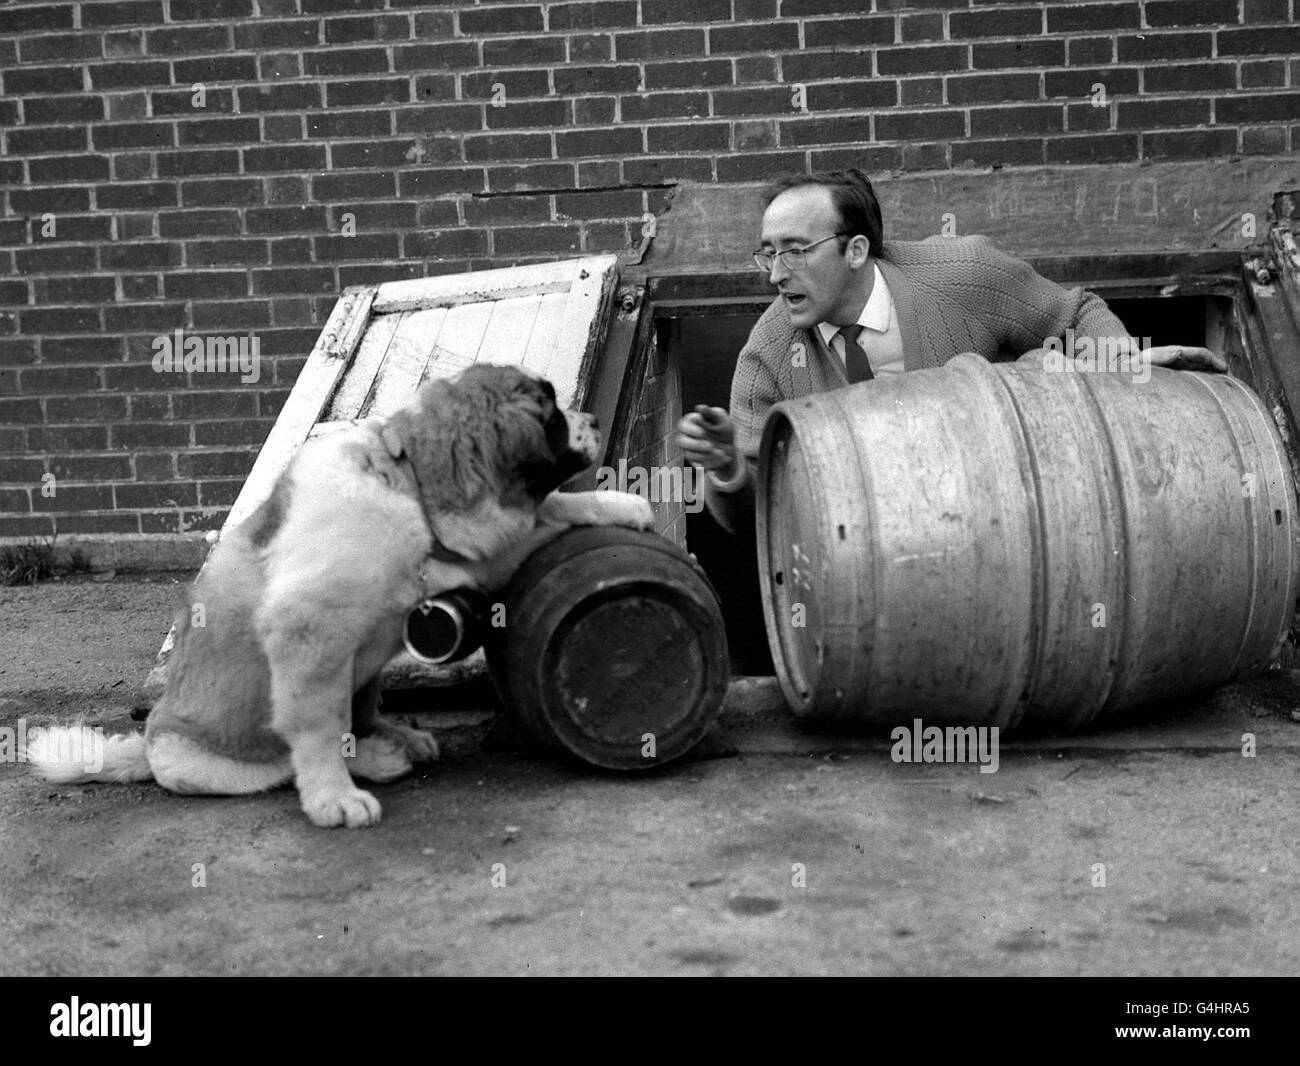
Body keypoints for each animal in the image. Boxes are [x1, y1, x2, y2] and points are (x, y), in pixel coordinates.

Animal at [27, 364, 660, 826]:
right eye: (551, 413)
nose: (593, 416)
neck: (406, 484)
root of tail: (147, 742)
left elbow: (548, 512)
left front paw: (616, 505)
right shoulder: (308, 632)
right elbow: (318, 726)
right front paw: (334, 797)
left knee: (364, 705)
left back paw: (393, 740)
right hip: (210, 759)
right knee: (283, 761)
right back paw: (369, 764)